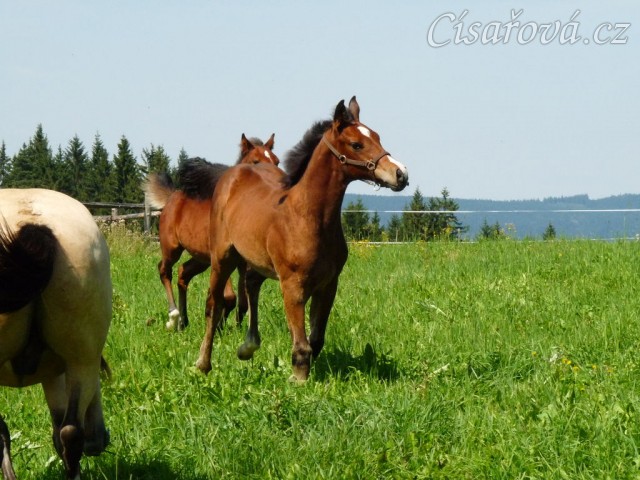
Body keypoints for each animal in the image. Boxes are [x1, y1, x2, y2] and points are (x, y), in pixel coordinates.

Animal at [0, 188, 112, 479]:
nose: (99, 441)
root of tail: (31, 224)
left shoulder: (51, 373)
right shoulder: (55, 373)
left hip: (80, 360)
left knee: (68, 432)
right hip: (82, 361)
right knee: (70, 432)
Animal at [144, 134, 279, 331]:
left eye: (276, 161)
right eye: (256, 162)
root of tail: (171, 198)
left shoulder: (243, 264)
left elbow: (242, 302)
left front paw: (231, 327)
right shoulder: (221, 259)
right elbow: (229, 297)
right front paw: (220, 325)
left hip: (201, 259)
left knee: (183, 273)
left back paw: (184, 322)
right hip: (171, 248)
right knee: (164, 270)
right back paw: (173, 316)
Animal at [195, 96, 409, 381]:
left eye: (377, 137)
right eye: (356, 144)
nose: (401, 174)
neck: (309, 217)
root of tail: (233, 174)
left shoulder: (328, 285)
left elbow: (315, 339)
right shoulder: (292, 285)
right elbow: (301, 343)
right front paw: (298, 379)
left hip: (257, 260)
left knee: (251, 284)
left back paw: (248, 347)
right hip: (222, 257)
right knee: (214, 304)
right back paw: (203, 363)